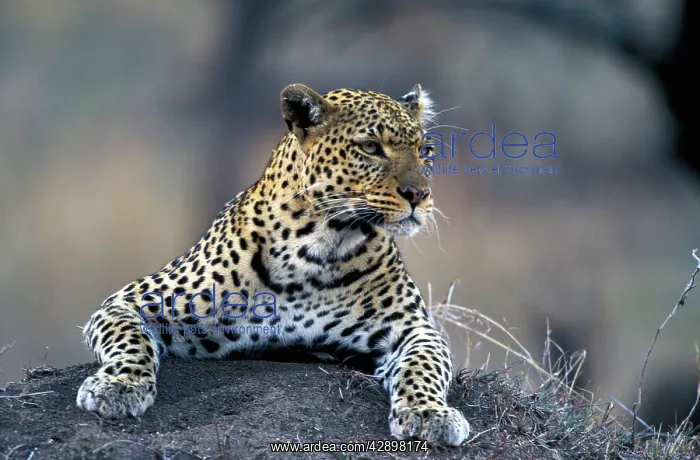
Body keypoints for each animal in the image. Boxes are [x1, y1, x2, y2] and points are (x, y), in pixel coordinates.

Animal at [76, 83, 470, 446]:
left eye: (425, 151)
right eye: (371, 147)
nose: (419, 194)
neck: (319, 250)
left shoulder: (415, 329)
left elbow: (424, 366)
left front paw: (429, 412)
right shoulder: (133, 299)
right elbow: (130, 339)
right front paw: (119, 385)